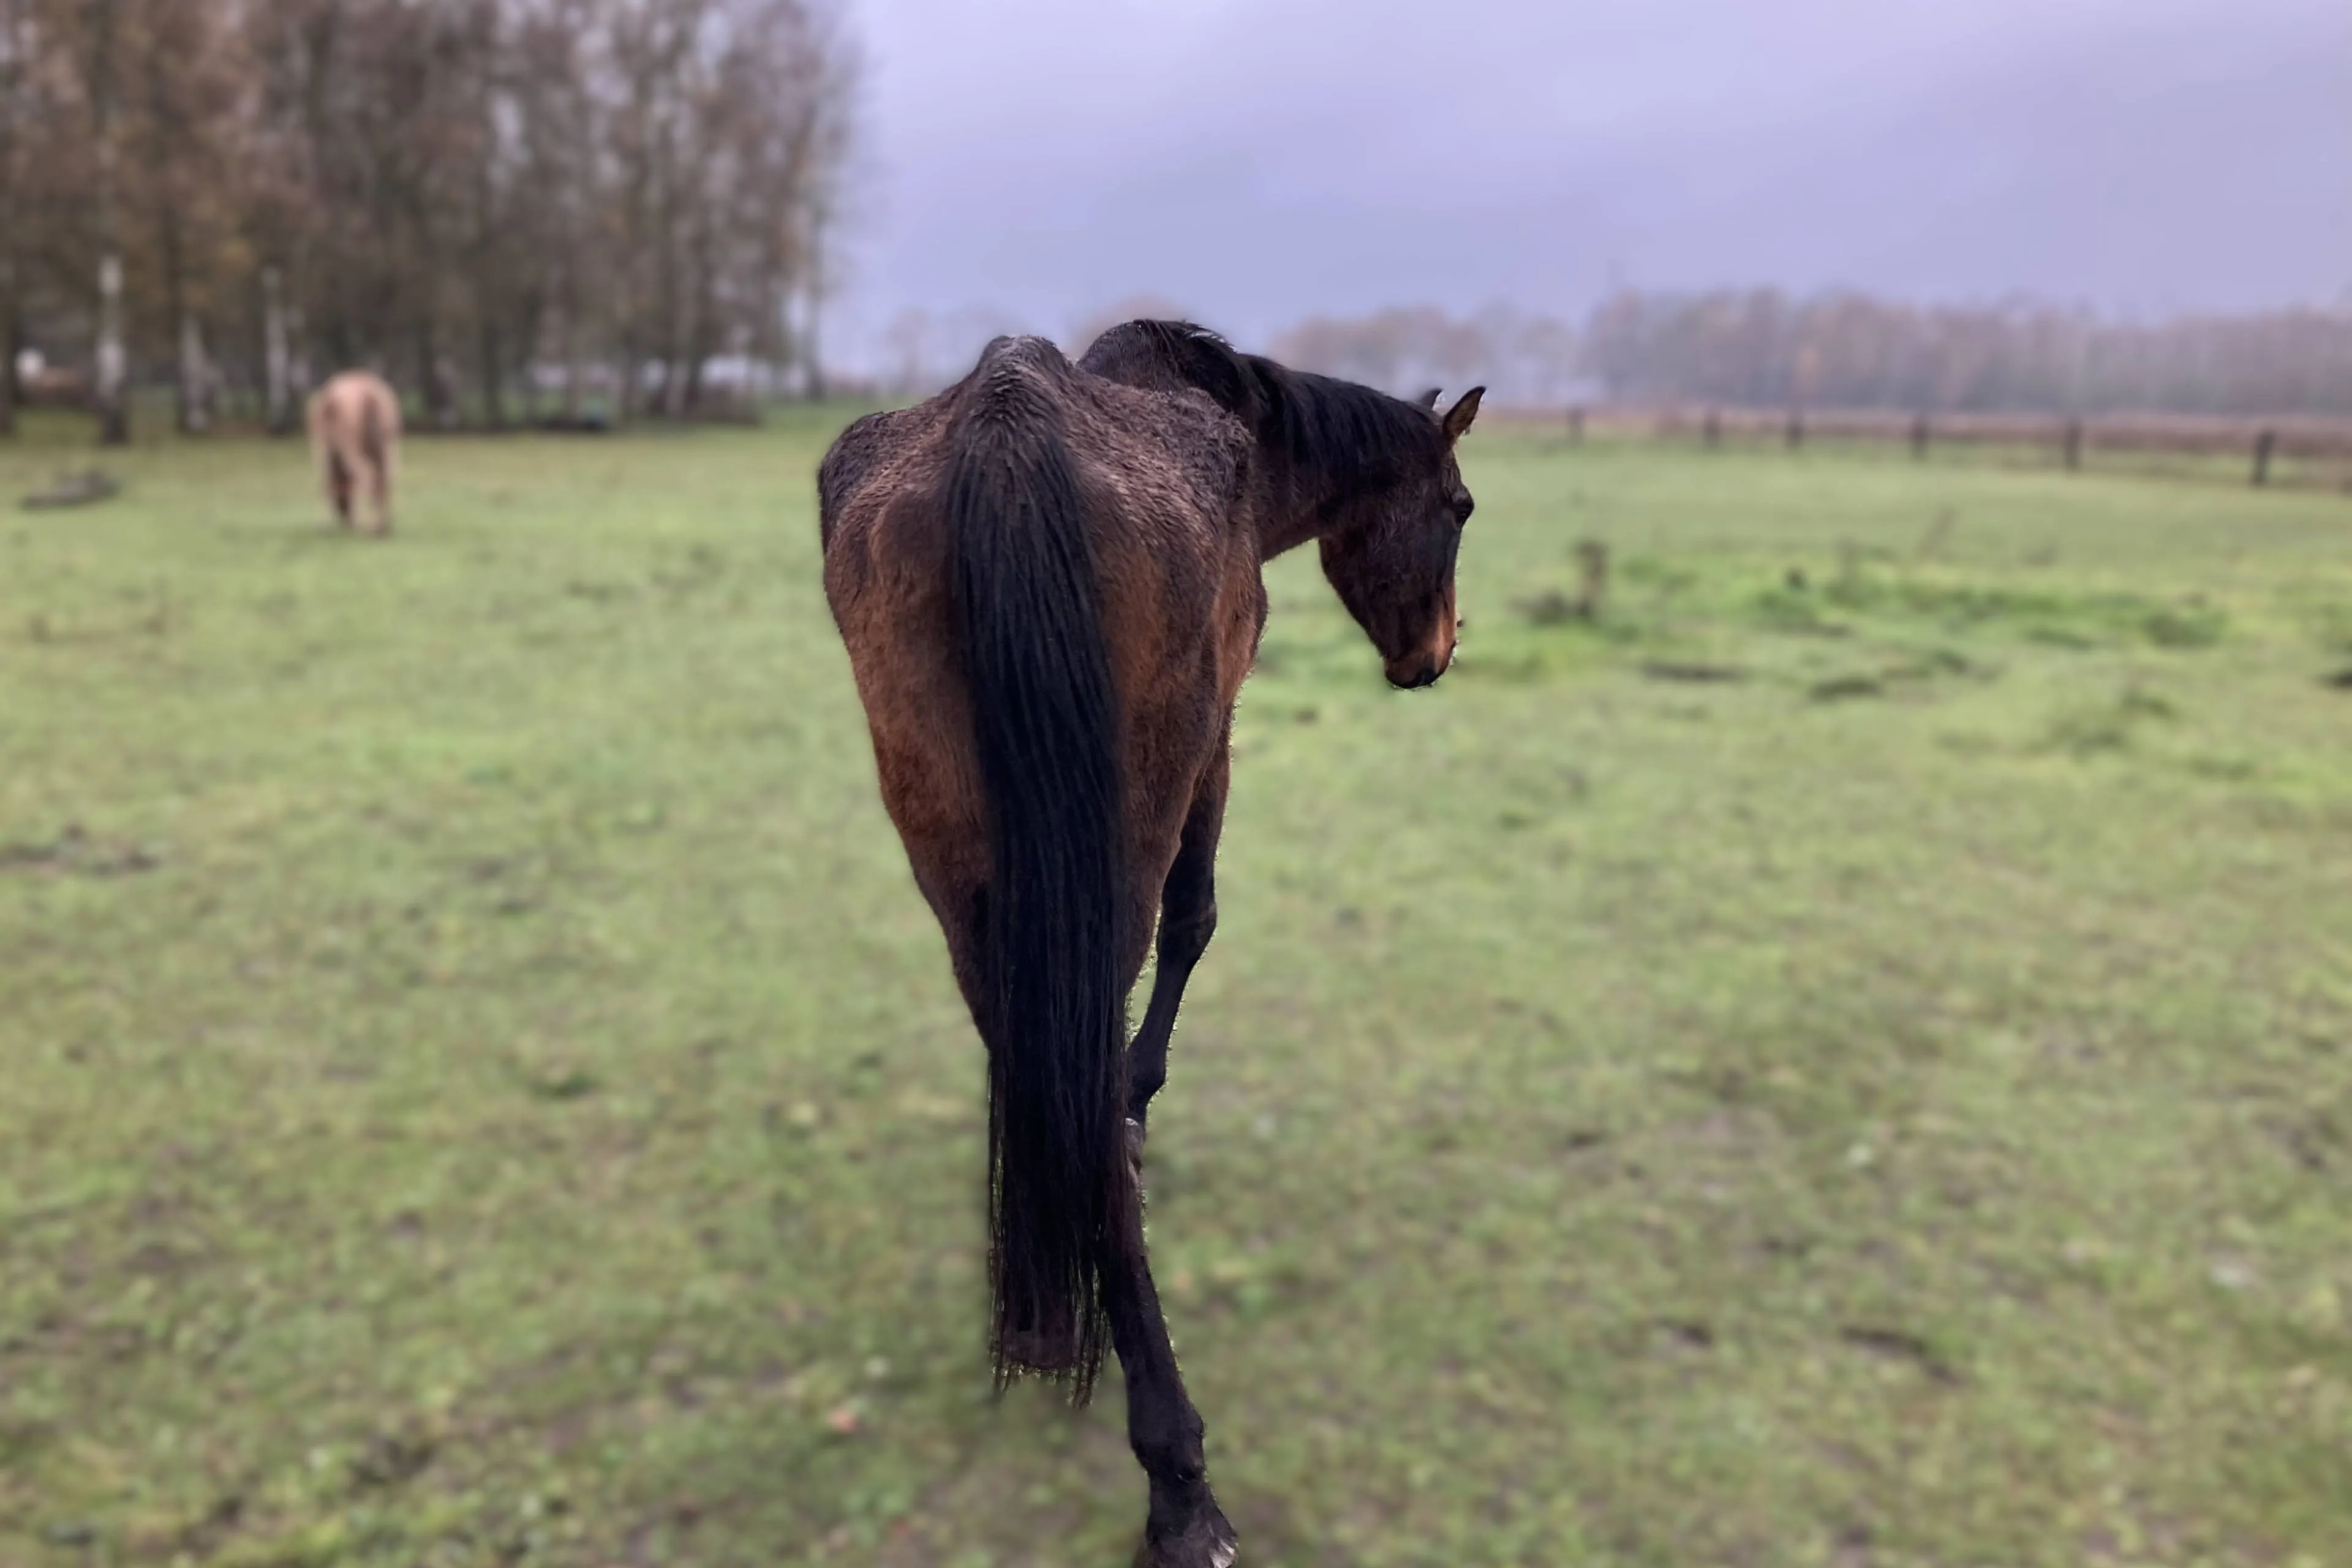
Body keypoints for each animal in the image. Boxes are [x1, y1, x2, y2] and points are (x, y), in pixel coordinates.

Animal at [306, 370, 401, 536]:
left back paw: (364, 524)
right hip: (387, 442)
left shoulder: (322, 445)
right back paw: (382, 526)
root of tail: (371, 396)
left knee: (365, 472)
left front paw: (324, 524)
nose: (345, 515)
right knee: (384, 478)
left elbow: (326, 481)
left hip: (349, 440)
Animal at [817, 323, 1481, 1567]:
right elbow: (1195, 927)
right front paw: (1137, 1105)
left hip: (957, 857)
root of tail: (1007, 427)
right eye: (1459, 506)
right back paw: (1177, 1477)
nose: (1435, 654)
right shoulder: (1217, 743)